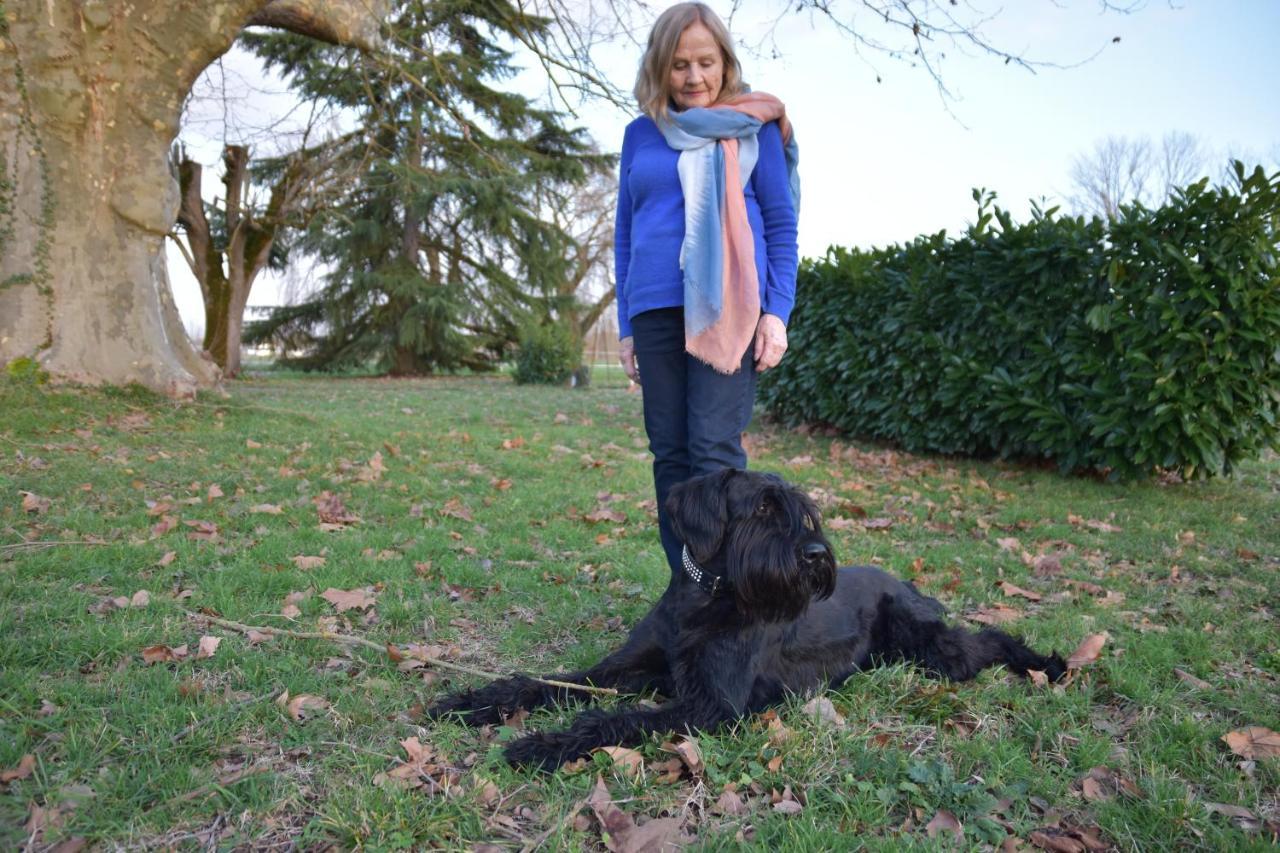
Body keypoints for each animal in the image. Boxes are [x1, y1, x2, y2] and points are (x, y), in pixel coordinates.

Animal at [424, 468, 1064, 768]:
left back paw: (1044, 661)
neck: (707, 599)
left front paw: (542, 745)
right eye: (761, 508)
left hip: (933, 649)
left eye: (805, 513)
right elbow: (548, 683)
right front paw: (470, 701)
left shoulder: (712, 706)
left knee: (983, 641)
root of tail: (901, 580)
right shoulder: (625, 669)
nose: (816, 555)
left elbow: (615, 719)